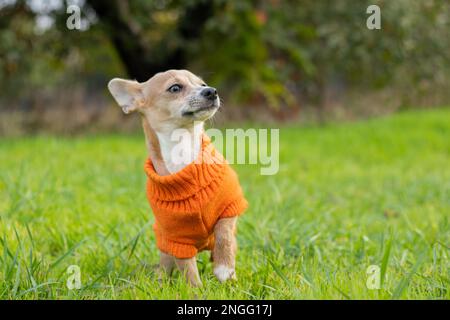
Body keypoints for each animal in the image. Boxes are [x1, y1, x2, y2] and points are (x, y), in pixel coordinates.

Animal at [109, 69, 250, 284]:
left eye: (202, 84)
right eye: (175, 88)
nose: (211, 91)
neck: (182, 150)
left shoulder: (230, 206)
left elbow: (224, 234)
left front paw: (224, 269)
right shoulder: (177, 239)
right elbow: (188, 269)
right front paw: (196, 289)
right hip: (165, 247)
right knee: (166, 266)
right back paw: (160, 282)